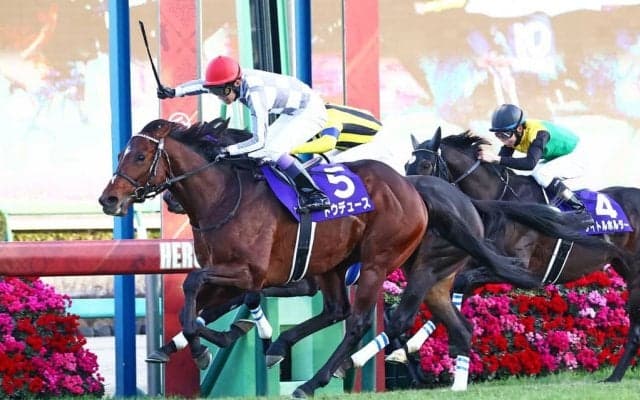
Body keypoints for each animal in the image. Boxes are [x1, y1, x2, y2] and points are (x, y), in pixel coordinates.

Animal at [404, 127, 640, 382]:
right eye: (407, 165)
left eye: (426, 164)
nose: (414, 199)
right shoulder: (487, 264)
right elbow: (451, 291)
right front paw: (409, 347)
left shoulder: (520, 268)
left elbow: (458, 284)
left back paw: (614, 376)